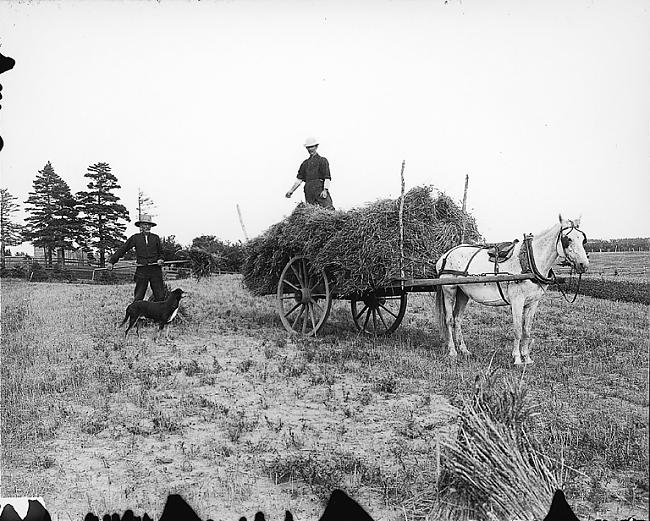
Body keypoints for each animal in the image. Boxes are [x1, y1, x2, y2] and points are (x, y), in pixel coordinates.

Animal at [436, 213, 588, 364]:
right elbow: (518, 330)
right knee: (449, 320)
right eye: (568, 239)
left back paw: (464, 350)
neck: (529, 261)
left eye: (583, 239)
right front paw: (517, 358)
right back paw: (452, 351)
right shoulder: (517, 301)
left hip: (463, 293)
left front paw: (527, 357)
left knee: (457, 319)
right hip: (449, 289)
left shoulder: (533, 303)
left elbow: (527, 330)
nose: (584, 265)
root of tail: (445, 255)